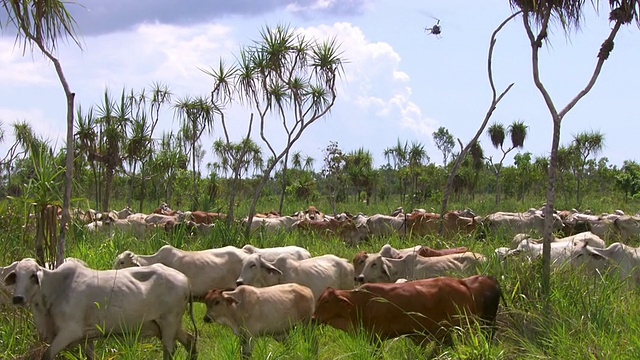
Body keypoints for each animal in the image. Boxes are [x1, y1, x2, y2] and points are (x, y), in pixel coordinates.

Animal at [5, 258, 195, 358]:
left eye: (32, 276)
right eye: (16, 276)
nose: (18, 298)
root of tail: (185, 279)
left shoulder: (69, 331)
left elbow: (47, 355)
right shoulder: (87, 337)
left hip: (169, 324)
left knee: (169, 350)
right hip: (168, 325)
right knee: (190, 340)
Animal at [312, 276, 502, 352]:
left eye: (326, 301)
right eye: (320, 299)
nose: (313, 318)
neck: (361, 303)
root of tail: (461, 282)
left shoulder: (376, 338)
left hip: (454, 328)